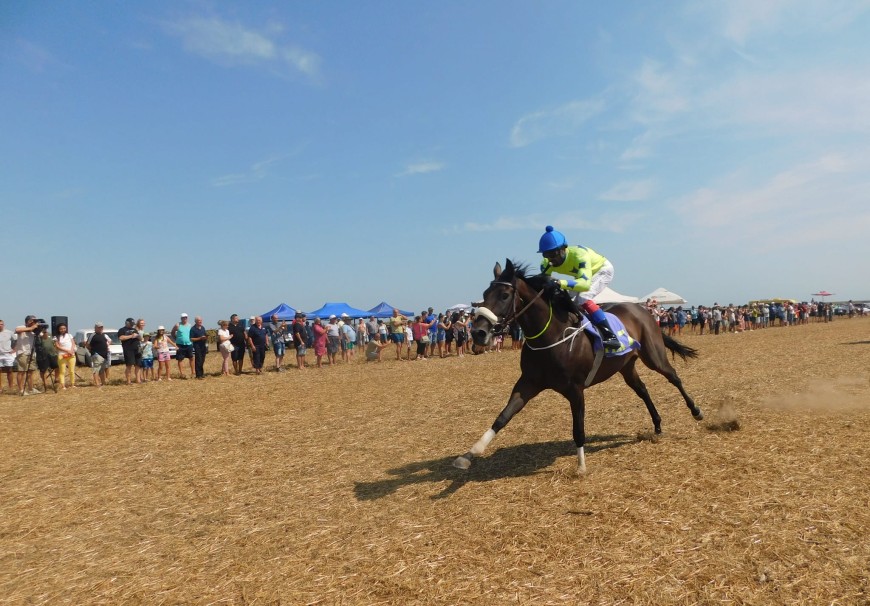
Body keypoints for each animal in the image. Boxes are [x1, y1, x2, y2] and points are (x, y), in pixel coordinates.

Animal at [454, 260, 704, 476]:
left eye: (505, 295)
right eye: (484, 295)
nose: (478, 332)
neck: (551, 336)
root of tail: (643, 310)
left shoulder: (575, 389)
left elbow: (578, 429)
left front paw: (581, 466)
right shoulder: (528, 383)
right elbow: (503, 416)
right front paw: (470, 453)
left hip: (653, 356)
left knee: (674, 377)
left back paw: (696, 411)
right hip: (626, 366)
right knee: (643, 390)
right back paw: (658, 425)